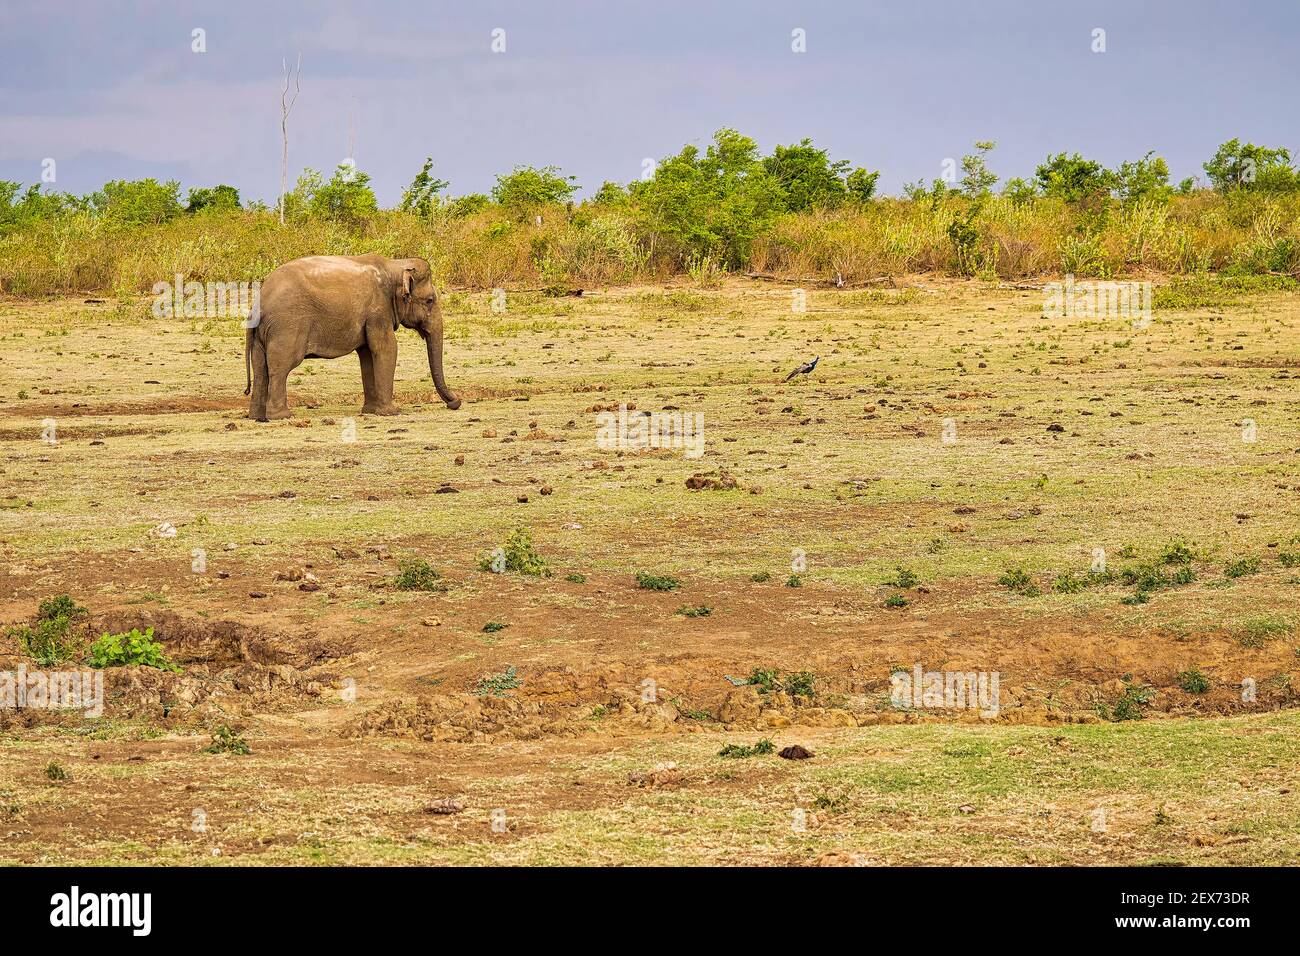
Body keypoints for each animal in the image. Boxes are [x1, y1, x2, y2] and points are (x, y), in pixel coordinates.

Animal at [244, 252, 462, 421]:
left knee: (261, 369)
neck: (396, 265)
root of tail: (259, 303)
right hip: (287, 327)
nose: (455, 402)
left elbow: (367, 355)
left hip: (262, 335)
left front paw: (371, 411)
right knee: (280, 368)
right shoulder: (378, 311)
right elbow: (387, 348)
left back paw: (257, 417)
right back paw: (282, 416)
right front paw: (392, 412)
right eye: (430, 300)